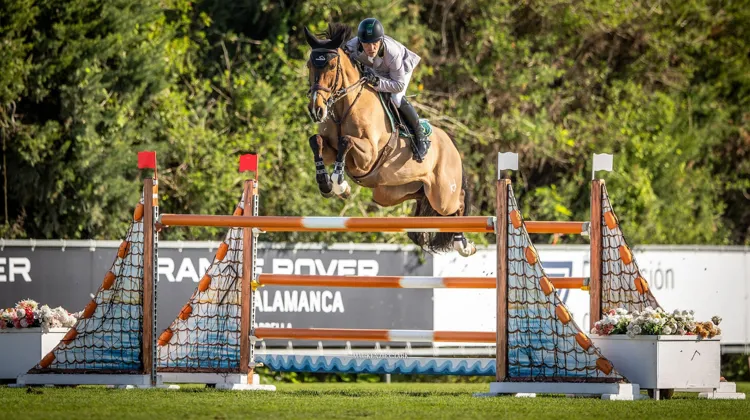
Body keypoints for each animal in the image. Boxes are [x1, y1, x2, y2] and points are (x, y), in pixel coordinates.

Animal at [303, 23, 476, 257]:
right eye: (309, 65)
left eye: (330, 66)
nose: (316, 110)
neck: (344, 108)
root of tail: (452, 146)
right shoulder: (330, 147)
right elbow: (317, 141)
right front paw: (326, 183)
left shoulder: (368, 155)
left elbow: (346, 141)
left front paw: (340, 183)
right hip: (391, 193)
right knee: (423, 203)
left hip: (442, 195)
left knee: (457, 203)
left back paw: (463, 243)